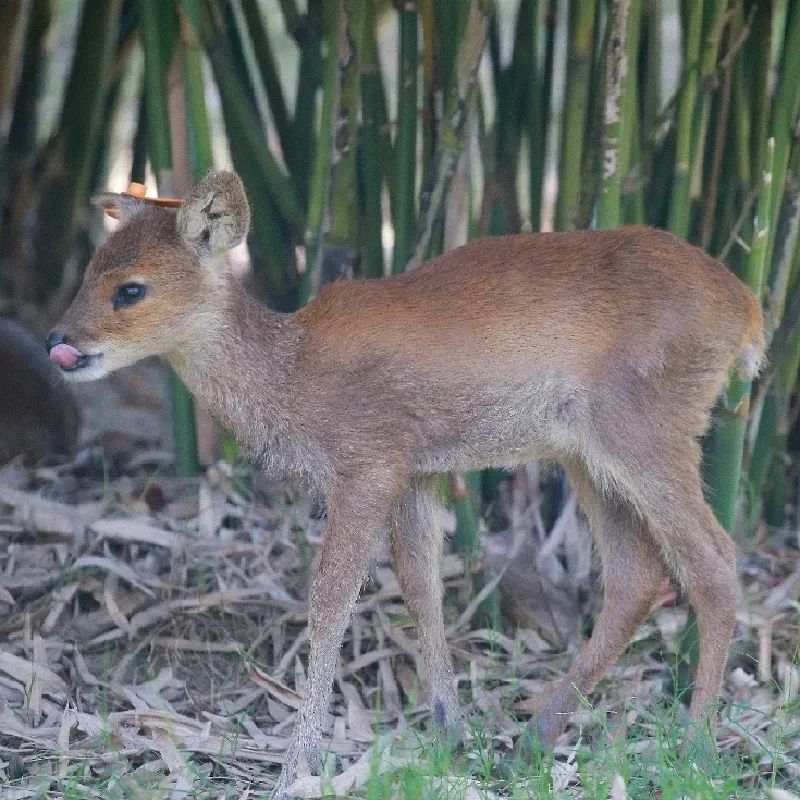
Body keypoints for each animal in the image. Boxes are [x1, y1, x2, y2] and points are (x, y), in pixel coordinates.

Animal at [50, 172, 764, 796]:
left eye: (131, 290)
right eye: (88, 272)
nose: (60, 340)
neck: (292, 373)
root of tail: (750, 310)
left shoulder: (366, 466)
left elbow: (330, 604)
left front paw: (297, 765)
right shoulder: (417, 469)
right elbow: (422, 586)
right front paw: (449, 732)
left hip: (648, 430)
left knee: (715, 562)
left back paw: (695, 747)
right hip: (587, 457)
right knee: (637, 576)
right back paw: (534, 737)